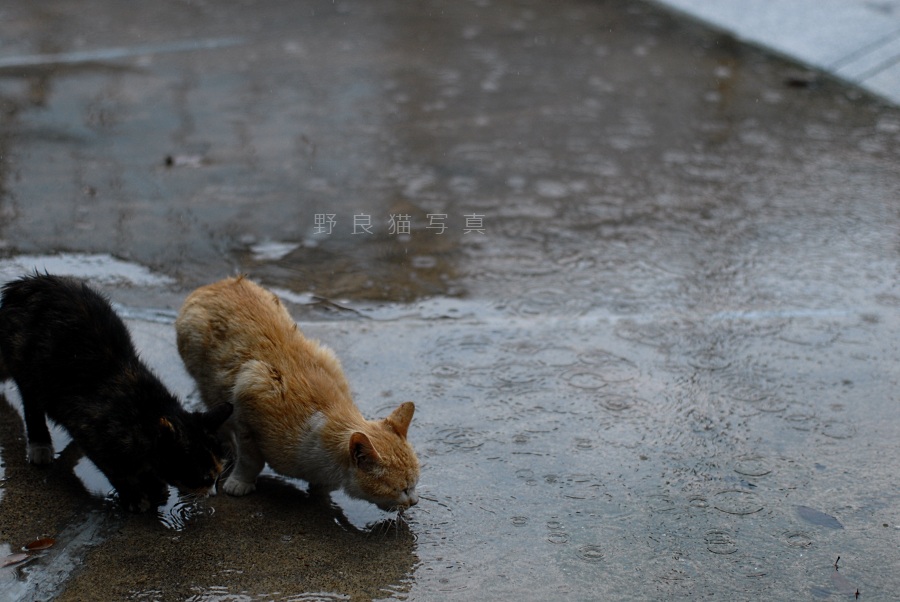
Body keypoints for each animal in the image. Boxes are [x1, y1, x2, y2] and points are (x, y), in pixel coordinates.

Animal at [0, 274, 232, 508]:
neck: (144, 411)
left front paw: (155, 486)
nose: (214, 493)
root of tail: (23, 284)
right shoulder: (90, 429)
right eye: (204, 478)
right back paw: (40, 445)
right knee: (32, 403)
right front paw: (135, 495)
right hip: (27, 366)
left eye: (219, 474)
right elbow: (115, 469)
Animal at [174, 274, 420, 508]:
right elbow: (250, 459)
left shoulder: (329, 361)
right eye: (403, 489)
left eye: (415, 484)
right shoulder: (251, 391)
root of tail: (220, 283)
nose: (415, 502)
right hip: (205, 375)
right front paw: (240, 482)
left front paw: (320, 493)